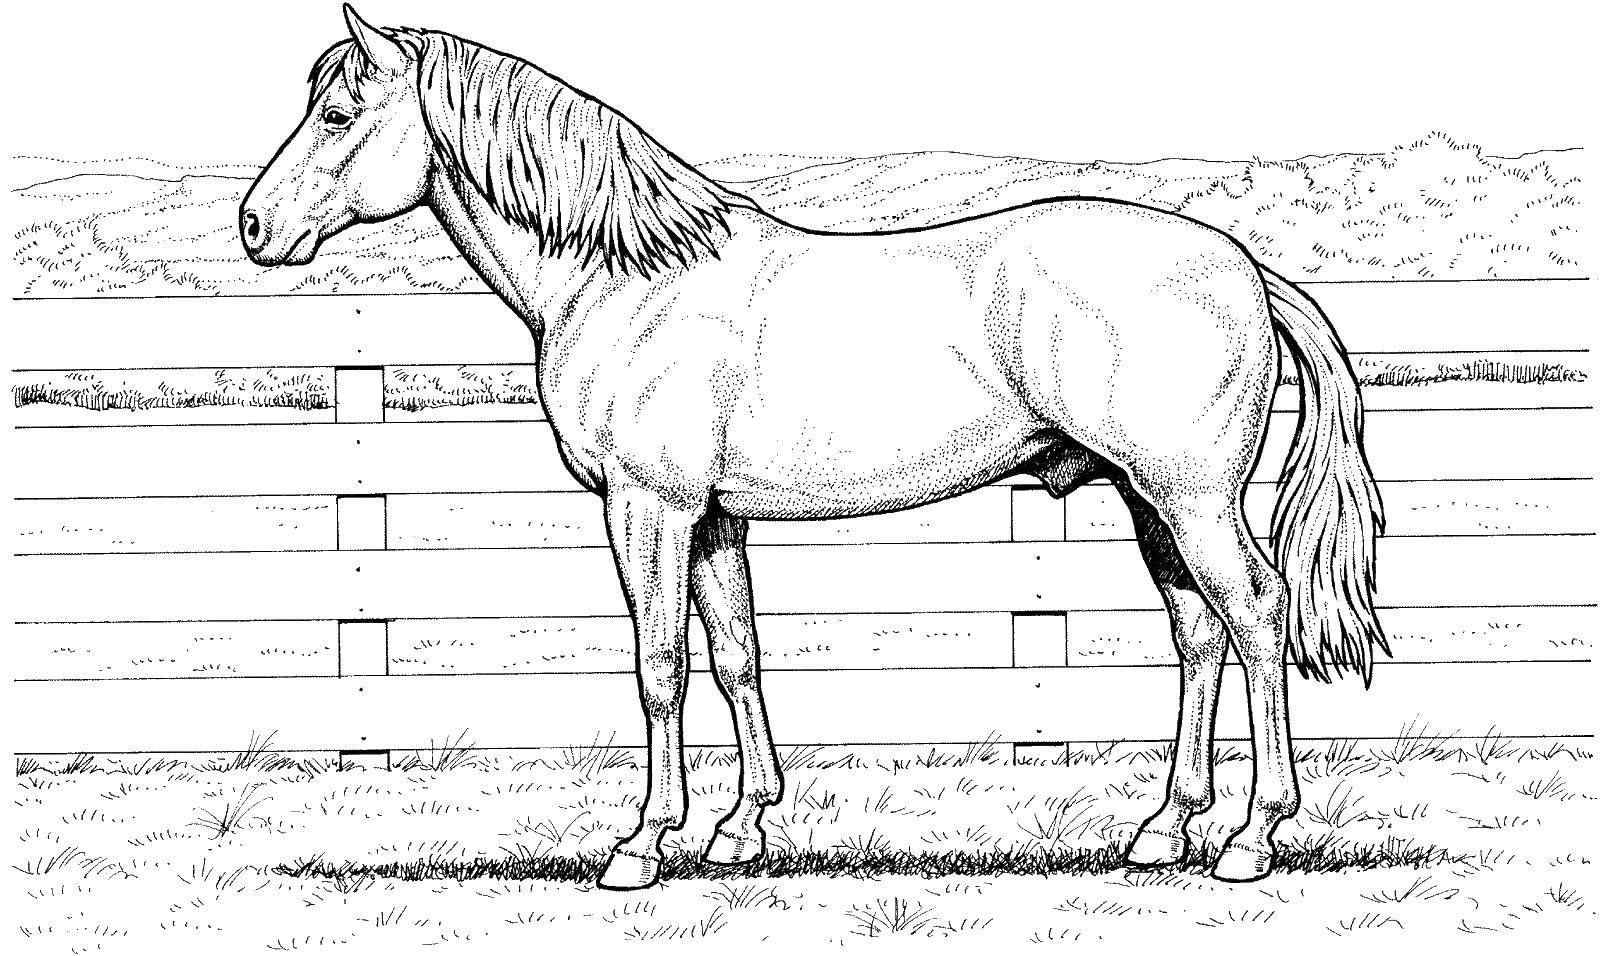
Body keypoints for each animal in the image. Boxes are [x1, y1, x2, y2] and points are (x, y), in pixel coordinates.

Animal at [242, 6, 1386, 890]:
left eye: (338, 113)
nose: (254, 226)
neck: (629, 277)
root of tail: (1243, 267)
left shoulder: (648, 506)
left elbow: (659, 666)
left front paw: (641, 845)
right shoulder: (712, 519)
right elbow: (735, 655)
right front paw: (739, 828)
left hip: (1192, 499)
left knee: (1257, 616)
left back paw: (1250, 837)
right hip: (1149, 500)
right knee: (1198, 635)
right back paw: (1162, 828)